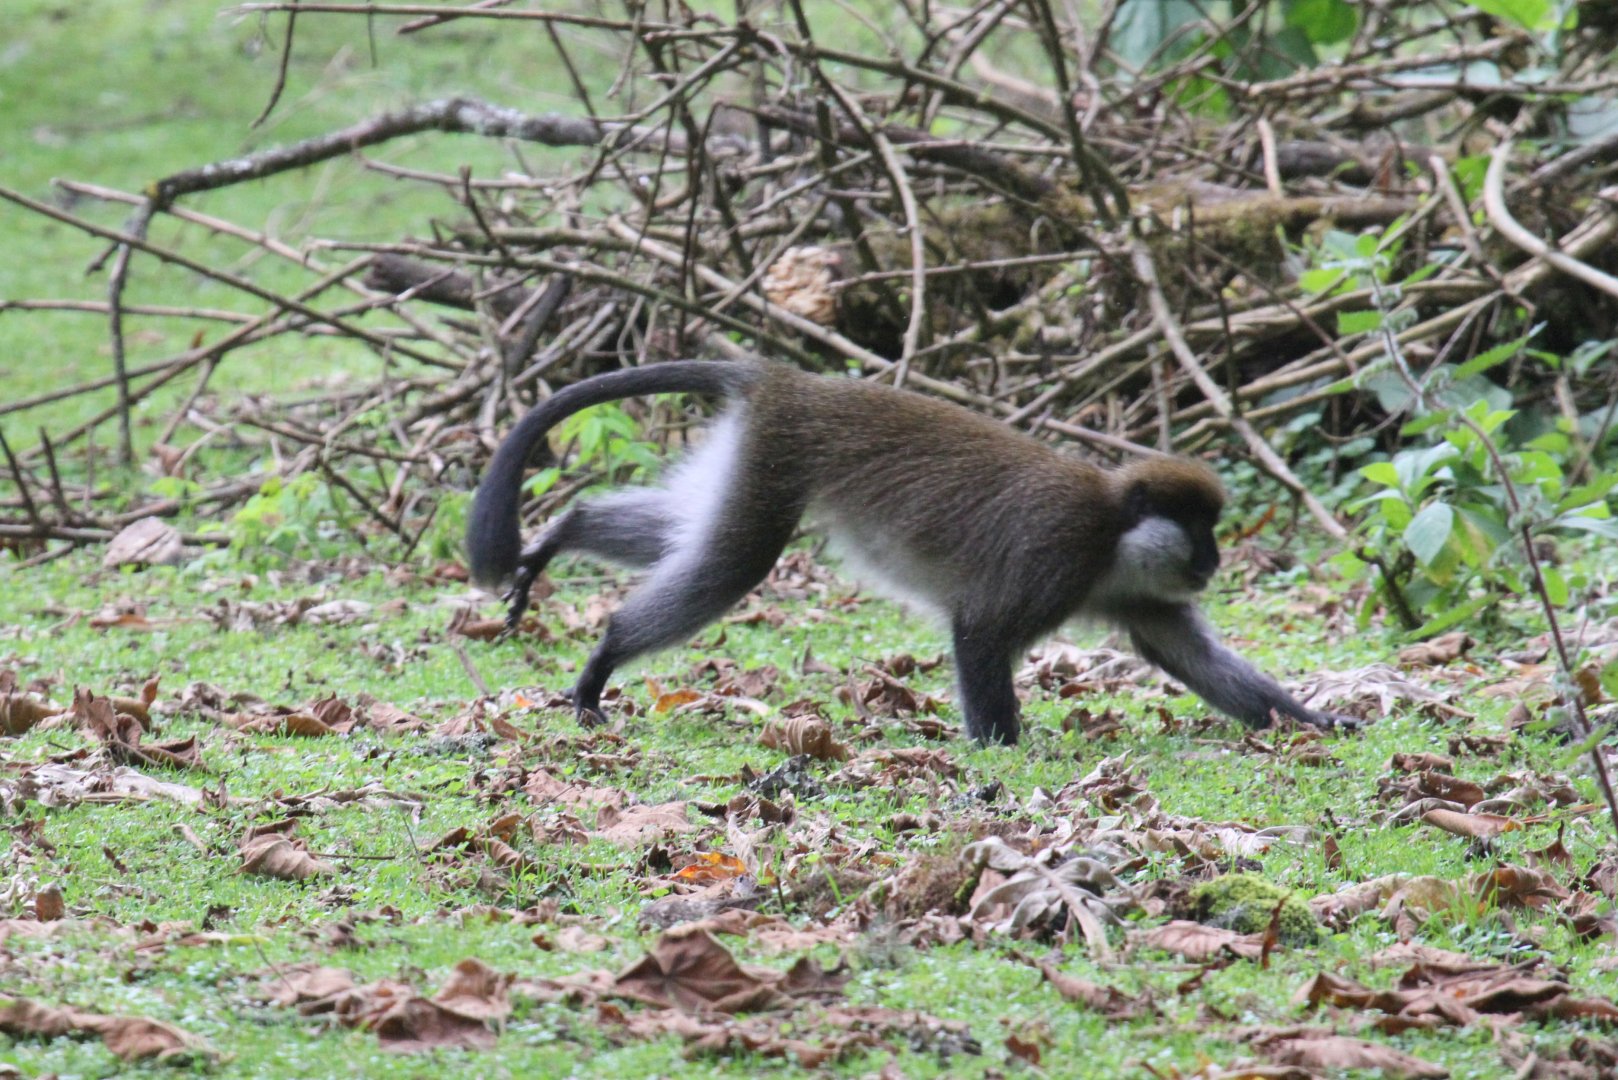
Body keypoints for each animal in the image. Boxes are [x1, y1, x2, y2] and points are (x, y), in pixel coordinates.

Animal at [467, 359, 1355, 745]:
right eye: (1200, 529)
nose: (1214, 560)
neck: (1114, 532)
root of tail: (789, 383)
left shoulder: (1136, 588)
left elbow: (1185, 654)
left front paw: (1316, 720)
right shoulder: (1056, 556)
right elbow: (981, 632)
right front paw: (1001, 749)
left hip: (755, 455)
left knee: (697, 536)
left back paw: (562, 535)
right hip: (779, 457)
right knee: (735, 561)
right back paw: (608, 652)